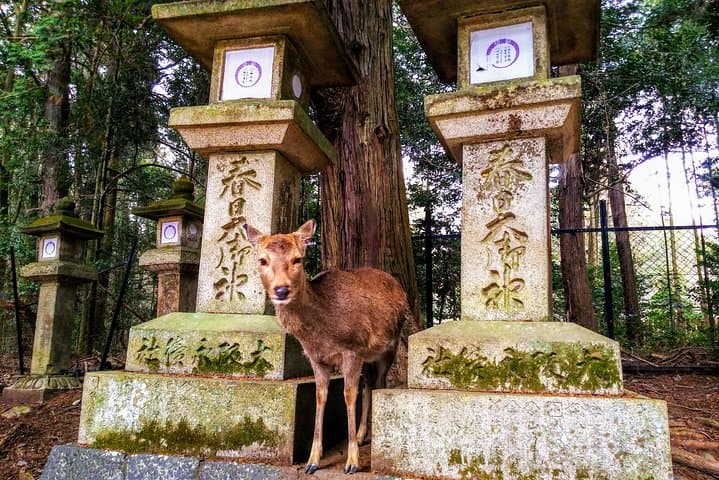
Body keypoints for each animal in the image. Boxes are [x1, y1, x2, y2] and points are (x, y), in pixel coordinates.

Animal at [243, 219, 410, 475]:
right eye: (262, 260)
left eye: (297, 259)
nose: (281, 290)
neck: (322, 333)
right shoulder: (316, 358)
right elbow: (320, 396)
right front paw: (312, 460)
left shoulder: (352, 349)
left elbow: (348, 395)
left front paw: (352, 462)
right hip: (368, 356)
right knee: (369, 384)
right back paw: (361, 434)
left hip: (389, 346)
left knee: (379, 383)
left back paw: (367, 437)